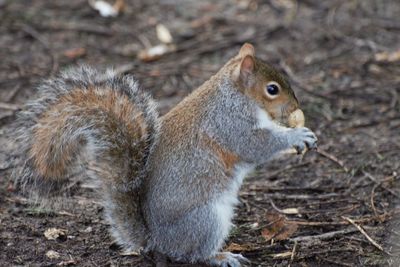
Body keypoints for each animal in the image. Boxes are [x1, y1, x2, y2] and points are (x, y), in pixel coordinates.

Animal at [14, 43, 318, 266]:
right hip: (206, 220)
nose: (296, 106)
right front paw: (296, 136)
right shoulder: (230, 123)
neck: (234, 94)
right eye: (272, 89)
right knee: (193, 256)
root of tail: (157, 241)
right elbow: (256, 144)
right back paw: (222, 256)